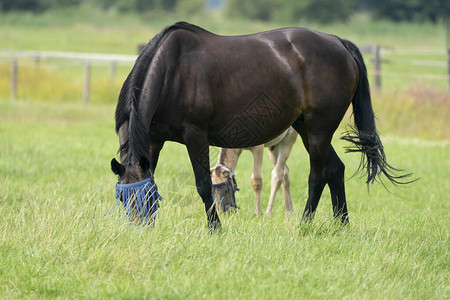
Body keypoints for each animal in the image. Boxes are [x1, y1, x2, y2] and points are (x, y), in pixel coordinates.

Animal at [110, 22, 412, 229]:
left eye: (143, 195)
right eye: (123, 198)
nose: (136, 227)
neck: (171, 72)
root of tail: (338, 42)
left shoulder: (196, 136)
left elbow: (203, 185)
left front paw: (215, 228)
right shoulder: (154, 139)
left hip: (318, 130)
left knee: (318, 175)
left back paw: (304, 225)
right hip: (305, 128)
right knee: (335, 170)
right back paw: (342, 224)